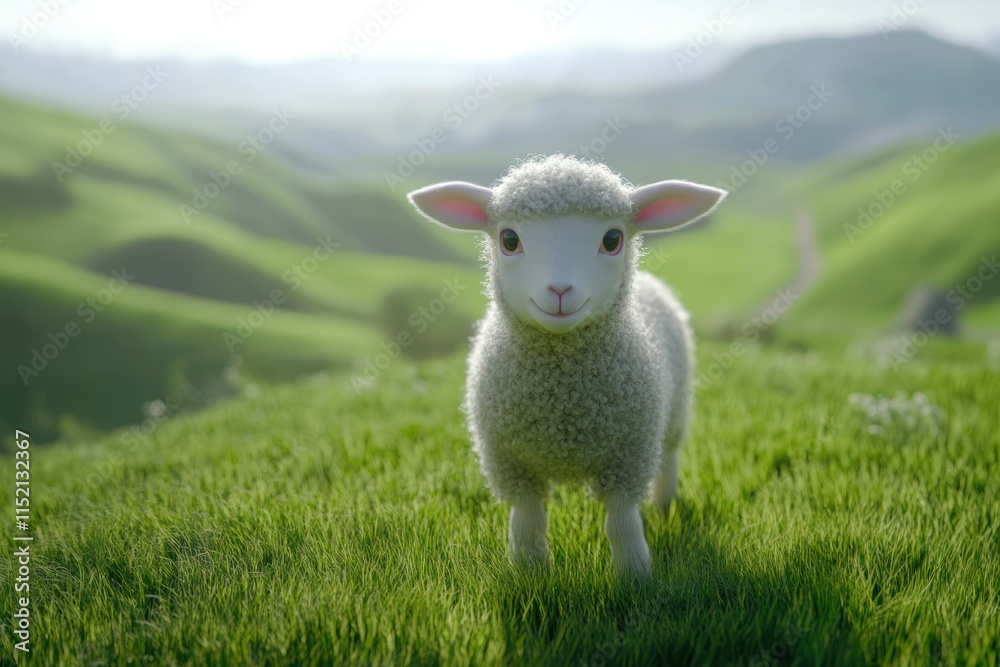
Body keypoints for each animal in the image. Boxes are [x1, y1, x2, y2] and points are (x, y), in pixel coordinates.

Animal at [407, 155, 726, 576]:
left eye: (612, 240)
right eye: (509, 240)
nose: (559, 291)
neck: (563, 406)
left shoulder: (630, 456)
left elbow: (621, 521)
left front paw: (635, 573)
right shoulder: (509, 462)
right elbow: (527, 519)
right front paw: (529, 569)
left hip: (672, 417)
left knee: (669, 460)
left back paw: (664, 507)